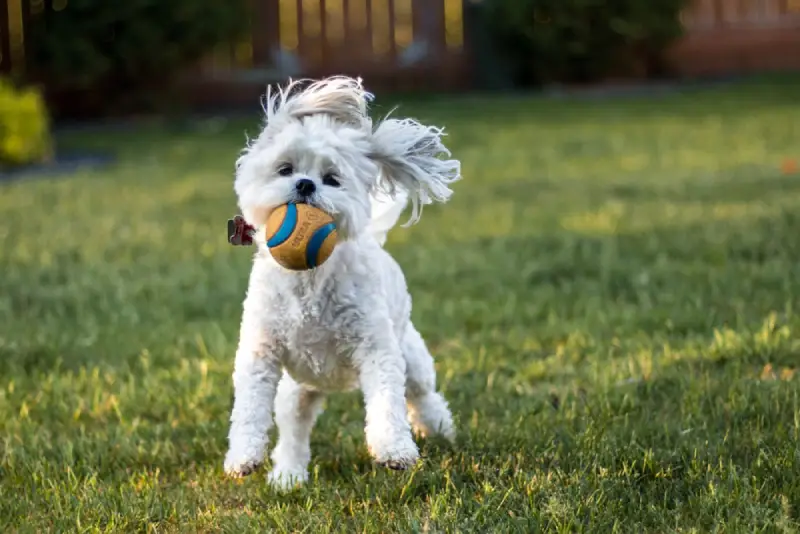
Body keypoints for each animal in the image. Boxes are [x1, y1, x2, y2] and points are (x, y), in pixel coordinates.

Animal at [225, 77, 462, 492]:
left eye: (332, 179)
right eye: (285, 169)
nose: (305, 184)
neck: (308, 278)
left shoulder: (377, 348)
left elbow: (387, 402)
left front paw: (394, 450)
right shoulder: (260, 349)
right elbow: (250, 405)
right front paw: (243, 457)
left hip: (411, 354)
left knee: (423, 393)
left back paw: (439, 427)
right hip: (297, 390)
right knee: (294, 431)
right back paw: (288, 474)